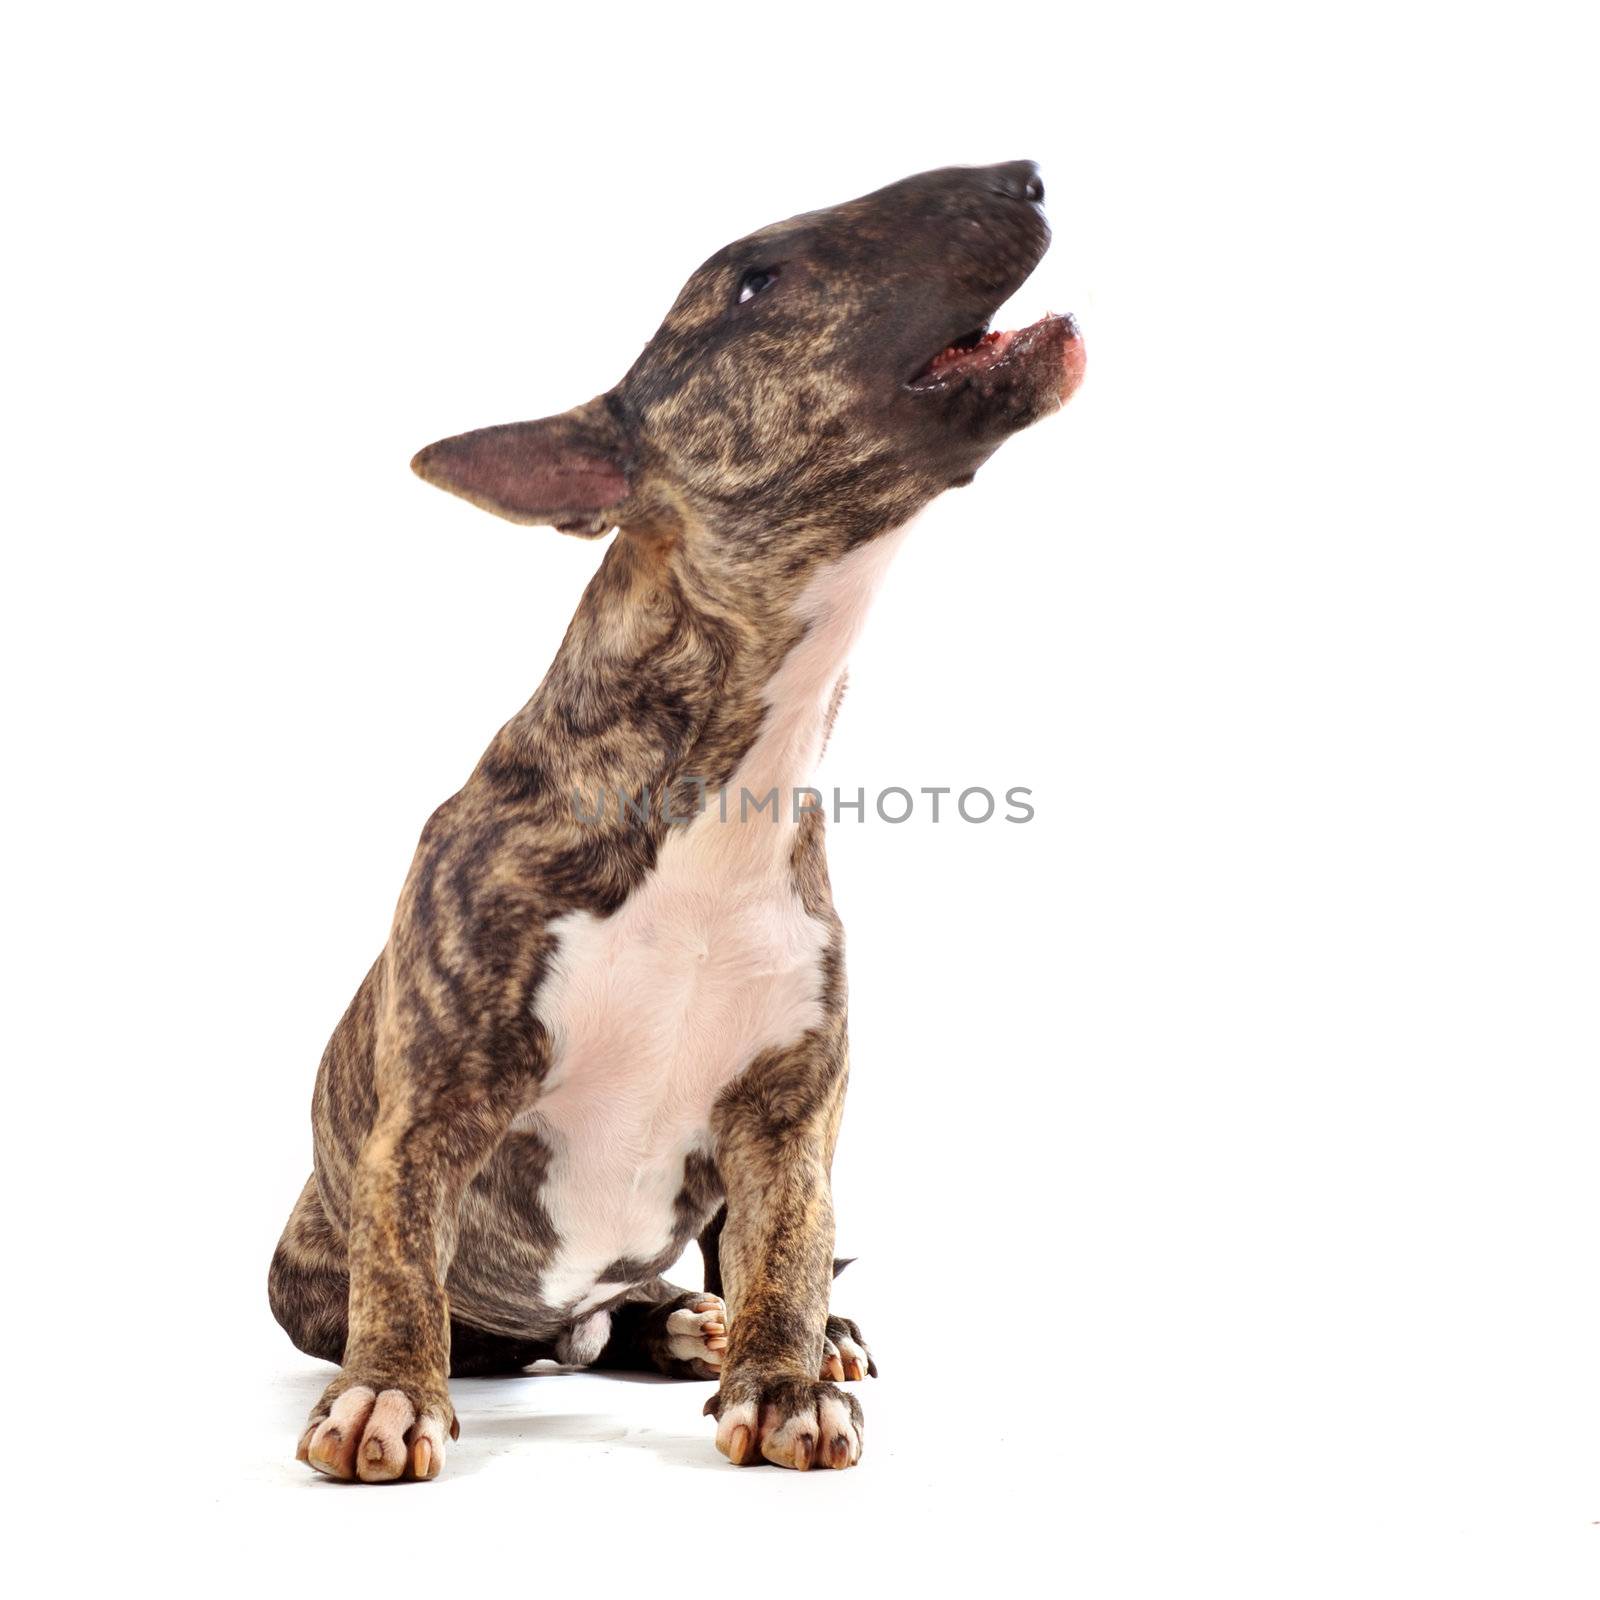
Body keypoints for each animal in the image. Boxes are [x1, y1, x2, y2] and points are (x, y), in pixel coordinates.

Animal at [272, 159, 1088, 1472]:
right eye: (751, 281)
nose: (1026, 175)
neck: (723, 795)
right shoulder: (434, 1099)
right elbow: (402, 1257)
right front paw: (388, 1393)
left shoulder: (791, 1105)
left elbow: (788, 1242)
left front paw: (787, 1380)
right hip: (305, 1267)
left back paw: (728, 1329)